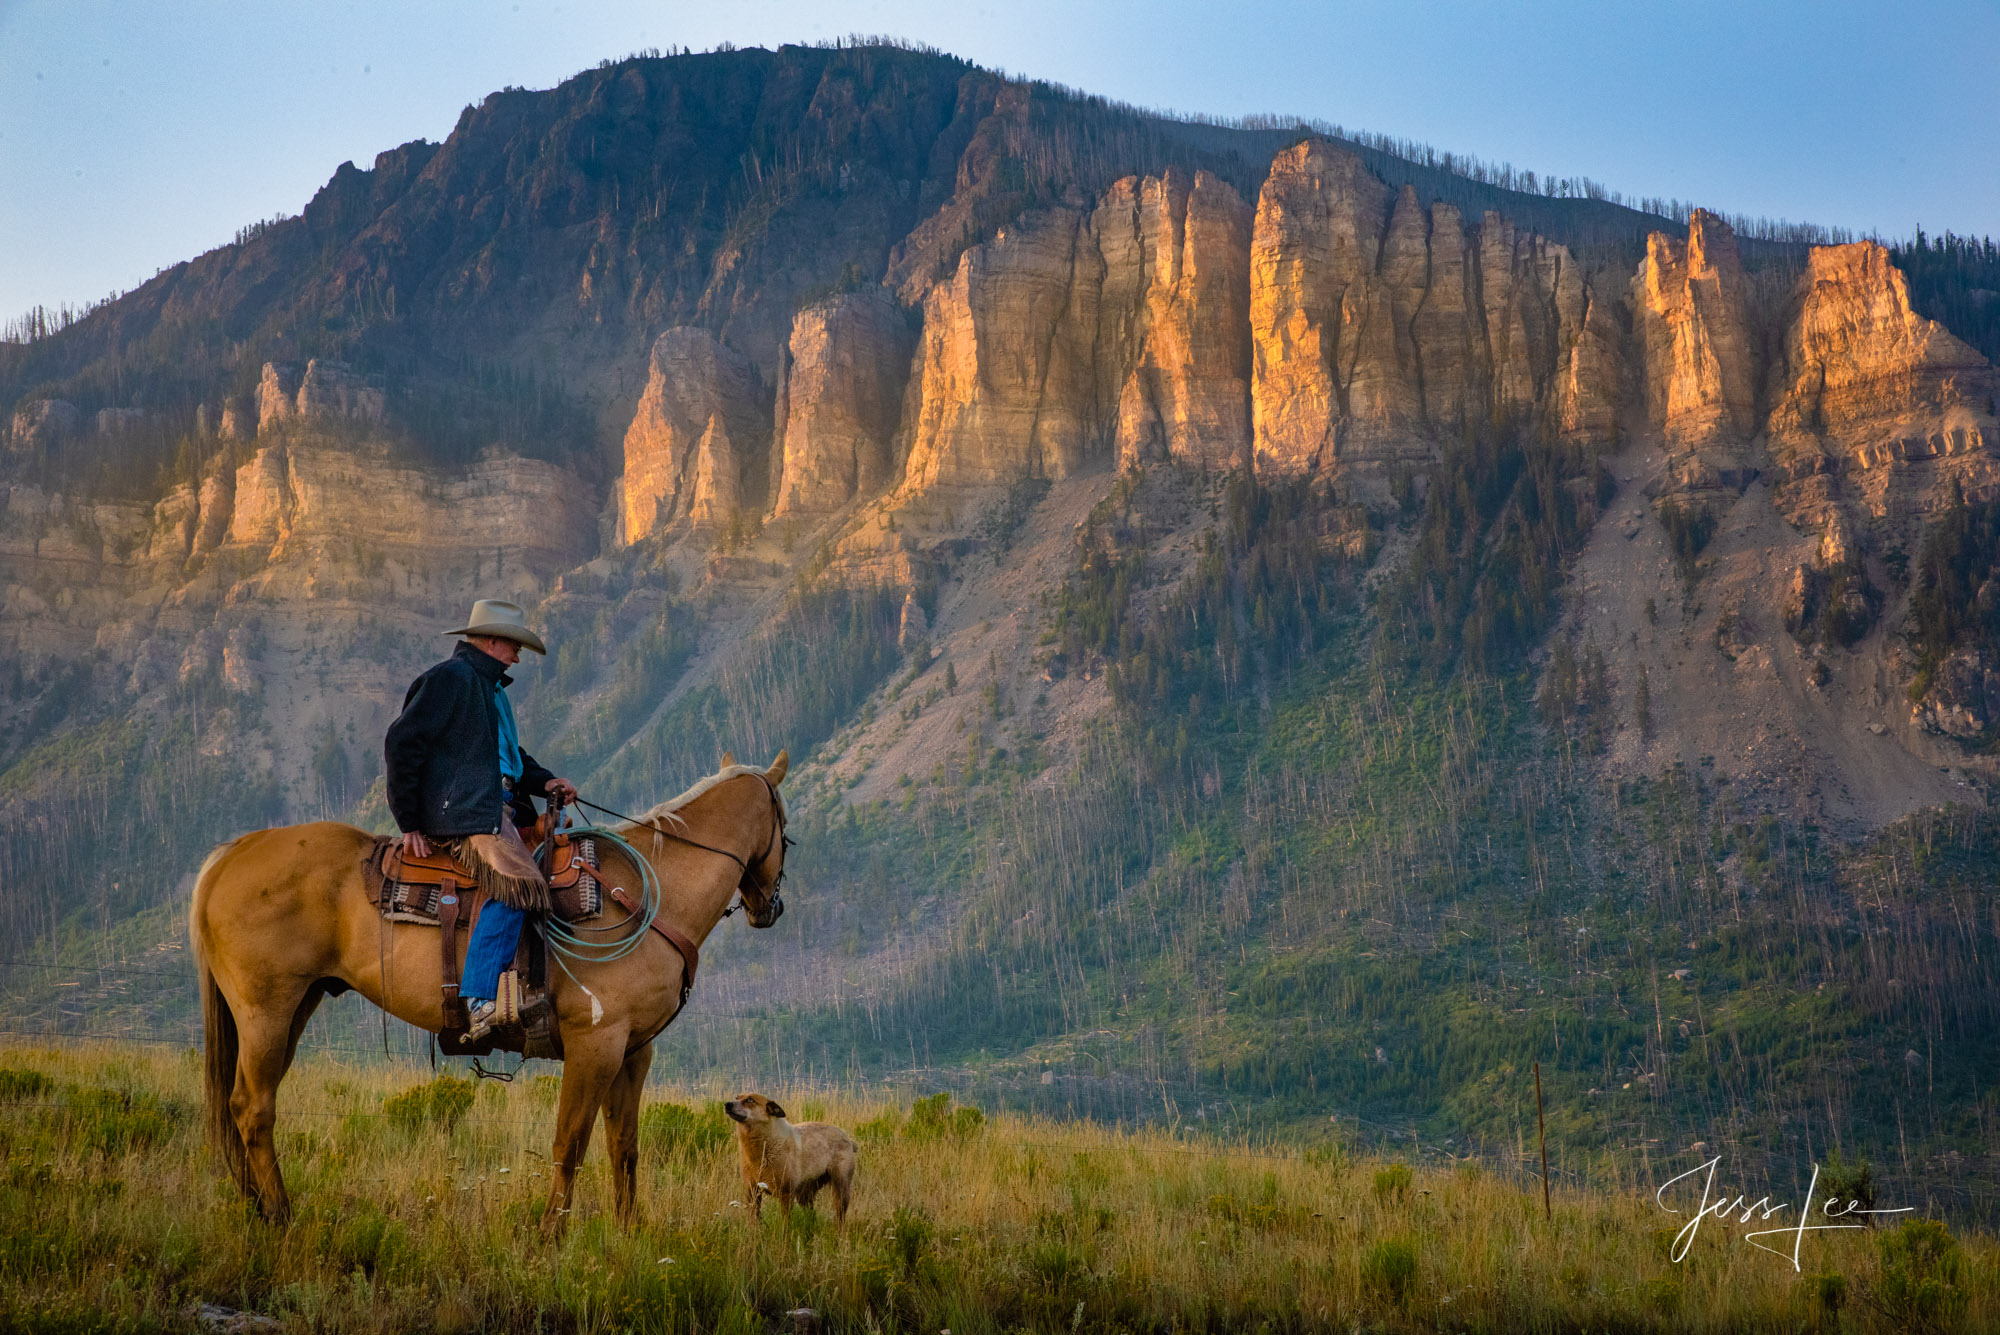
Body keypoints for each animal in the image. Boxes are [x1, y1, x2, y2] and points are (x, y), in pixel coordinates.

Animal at [189, 755, 788, 1223]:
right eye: (786, 823)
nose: (770, 908)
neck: (640, 895)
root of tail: (230, 853)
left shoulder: (633, 1052)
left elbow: (624, 1147)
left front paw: (628, 1235)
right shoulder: (594, 1046)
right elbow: (569, 1144)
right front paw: (551, 1237)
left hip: (295, 1007)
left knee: (242, 1105)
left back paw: (255, 1207)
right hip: (267, 1011)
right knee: (253, 1107)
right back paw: (280, 1215)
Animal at [724, 1095, 856, 1223]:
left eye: (750, 1100)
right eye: (737, 1097)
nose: (727, 1104)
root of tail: (848, 1139)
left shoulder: (786, 1193)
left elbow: (785, 1223)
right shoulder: (752, 1191)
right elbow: (753, 1220)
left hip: (841, 1186)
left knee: (840, 1216)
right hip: (805, 1193)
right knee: (812, 1216)